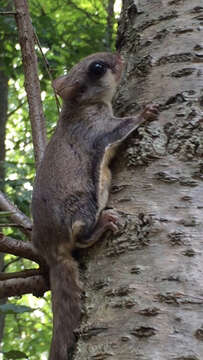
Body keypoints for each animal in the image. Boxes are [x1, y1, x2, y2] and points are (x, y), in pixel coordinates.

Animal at [31, 51, 159, 360]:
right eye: (97, 68)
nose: (120, 56)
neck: (82, 107)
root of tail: (50, 247)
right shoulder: (96, 132)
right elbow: (120, 128)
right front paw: (144, 113)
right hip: (83, 205)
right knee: (82, 235)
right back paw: (102, 224)